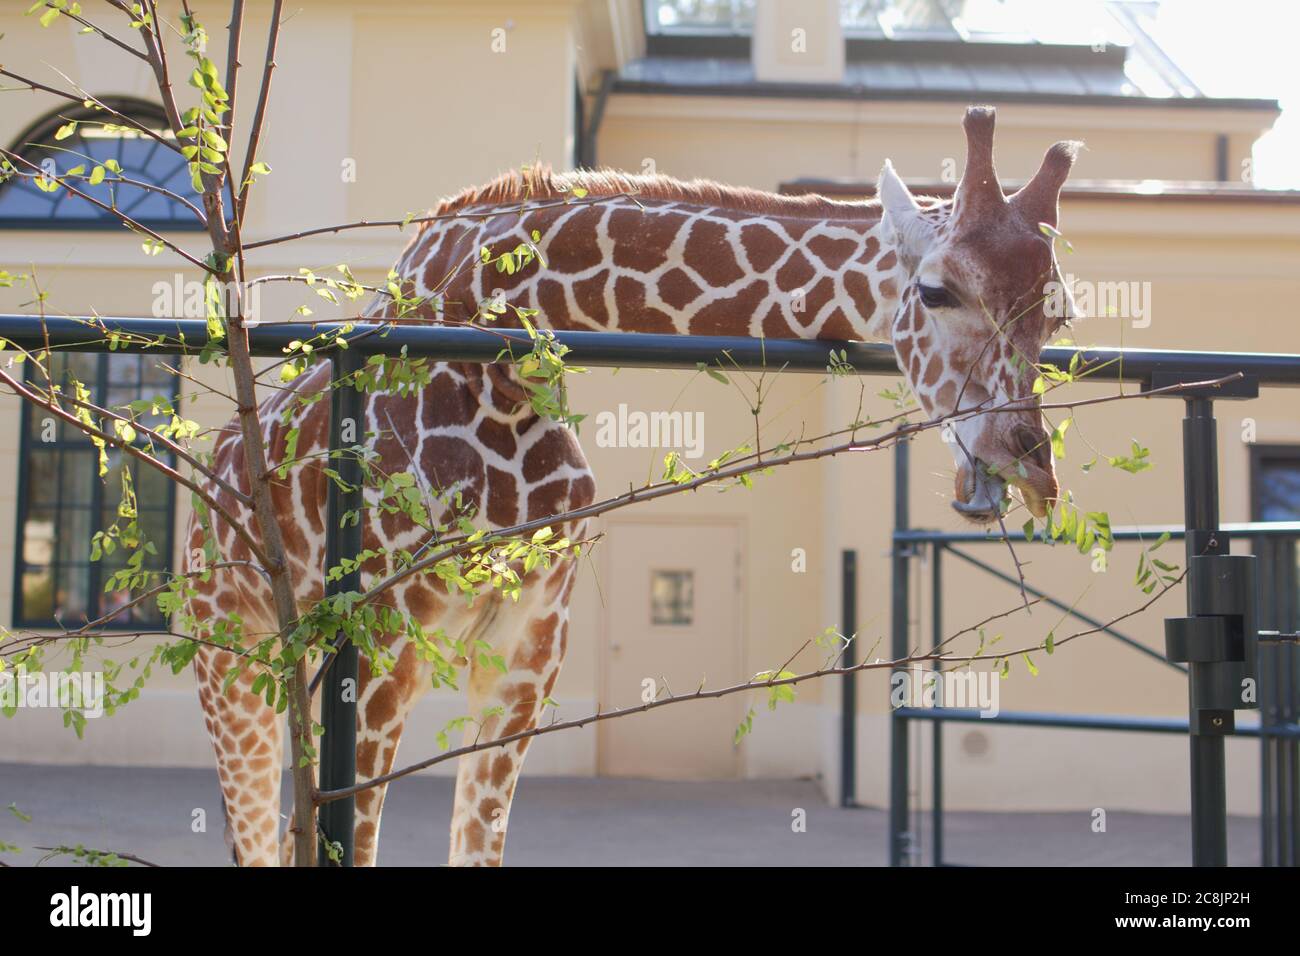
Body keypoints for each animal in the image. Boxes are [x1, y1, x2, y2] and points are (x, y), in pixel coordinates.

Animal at [185, 106, 1076, 868]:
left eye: (1059, 313)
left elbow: (477, 844)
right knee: (257, 827)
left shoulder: (529, 645)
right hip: (232, 648)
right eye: (936, 290)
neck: (497, 352)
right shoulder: (380, 633)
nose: (1027, 462)